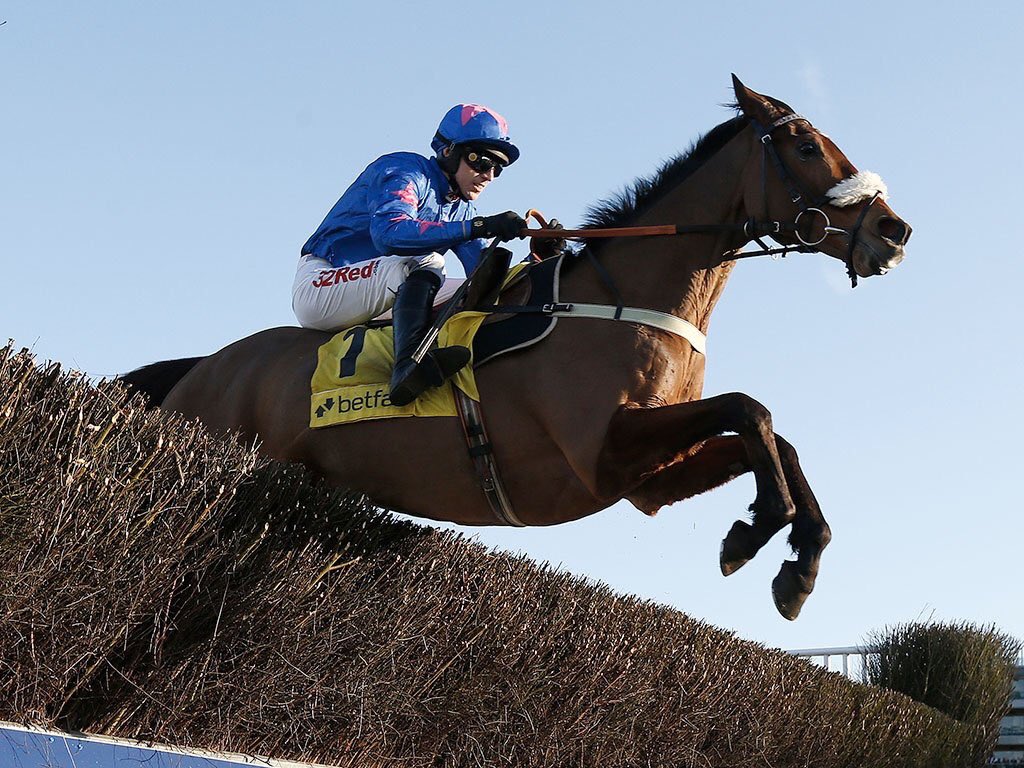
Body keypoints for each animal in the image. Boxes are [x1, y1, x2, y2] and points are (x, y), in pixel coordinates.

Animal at [122, 76, 911, 620]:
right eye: (805, 145)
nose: (894, 231)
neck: (628, 296)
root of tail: (204, 367)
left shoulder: (647, 480)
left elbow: (773, 435)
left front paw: (797, 559)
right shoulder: (602, 455)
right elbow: (750, 409)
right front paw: (759, 532)